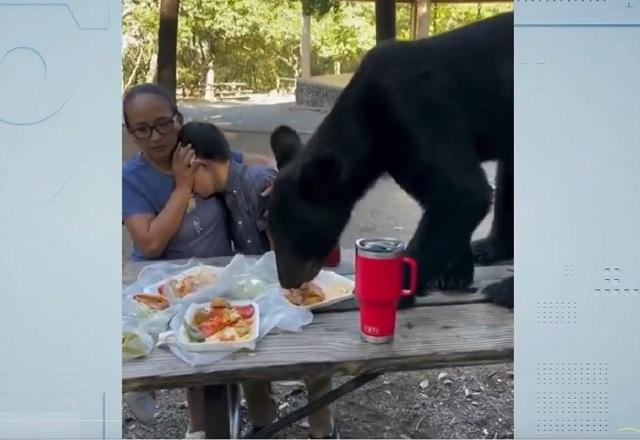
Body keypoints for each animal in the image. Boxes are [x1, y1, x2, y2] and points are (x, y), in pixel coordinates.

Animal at [268, 12, 512, 308]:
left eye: (294, 234)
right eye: (271, 230)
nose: (286, 281)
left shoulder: (417, 109)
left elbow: (462, 191)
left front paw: (398, 290)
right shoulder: (400, 154)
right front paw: (455, 272)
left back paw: (505, 289)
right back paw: (491, 247)